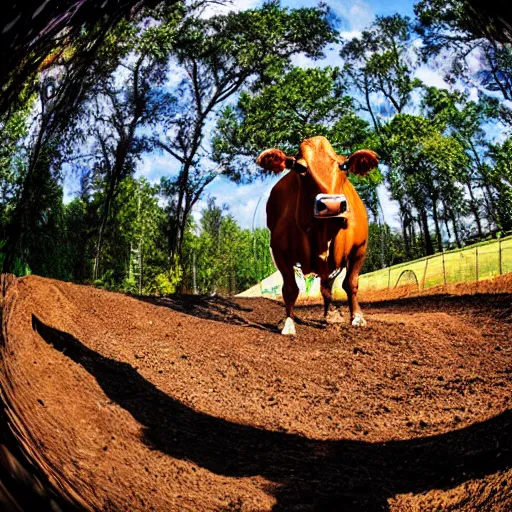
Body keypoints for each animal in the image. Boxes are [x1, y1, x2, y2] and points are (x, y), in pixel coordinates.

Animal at [258, 136, 378, 336]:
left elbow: (351, 283)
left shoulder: (359, 249)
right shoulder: (279, 252)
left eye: (343, 165)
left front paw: (357, 317)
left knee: (327, 287)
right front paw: (288, 323)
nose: (332, 204)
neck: (322, 232)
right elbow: (290, 289)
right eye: (300, 168)